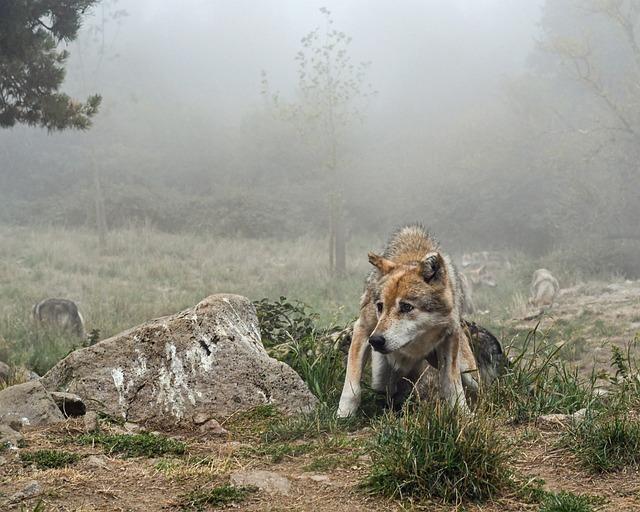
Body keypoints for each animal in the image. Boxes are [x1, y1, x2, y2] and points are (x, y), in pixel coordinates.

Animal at [338, 226, 508, 418]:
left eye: (406, 307)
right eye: (380, 306)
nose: (375, 340)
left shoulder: (450, 336)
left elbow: (452, 384)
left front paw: (464, 415)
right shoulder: (363, 328)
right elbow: (352, 385)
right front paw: (343, 415)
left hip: (468, 371)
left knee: (479, 388)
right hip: (382, 375)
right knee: (388, 389)